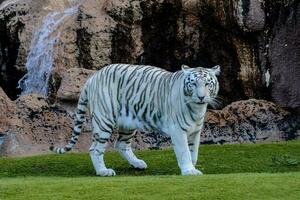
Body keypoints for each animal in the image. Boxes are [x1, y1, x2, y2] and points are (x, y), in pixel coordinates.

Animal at [49, 63, 220, 176]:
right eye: (193, 84)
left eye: (207, 84)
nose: (201, 97)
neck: (197, 109)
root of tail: (93, 77)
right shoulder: (178, 130)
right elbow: (184, 151)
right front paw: (189, 170)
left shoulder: (195, 132)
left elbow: (193, 152)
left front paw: (192, 167)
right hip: (104, 121)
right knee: (95, 149)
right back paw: (103, 171)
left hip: (128, 122)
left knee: (121, 144)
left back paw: (137, 164)